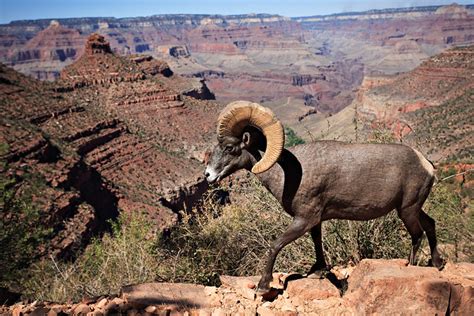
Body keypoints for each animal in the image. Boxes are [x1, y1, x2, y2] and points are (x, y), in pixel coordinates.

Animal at [205, 101, 444, 294]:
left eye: (229, 147)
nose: (208, 175)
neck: (286, 174)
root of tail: (426, 165)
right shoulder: (315, 222)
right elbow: (317, 242)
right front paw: (318, 271)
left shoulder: (304, 220)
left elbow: (276, 245)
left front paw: (263, 287)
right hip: (413, 208)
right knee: (430, 225)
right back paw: (438, 263)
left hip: (407, 210)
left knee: (417, 235)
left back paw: (413, 265)